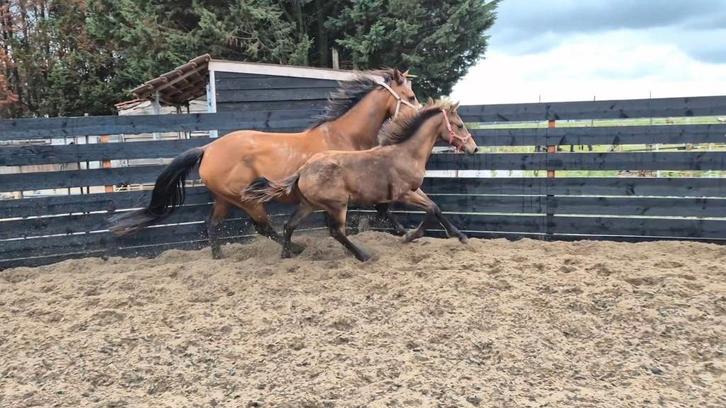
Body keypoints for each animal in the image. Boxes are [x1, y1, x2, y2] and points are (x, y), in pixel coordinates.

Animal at [108, 69, 421, 258]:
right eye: (411, 96)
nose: (422, 114)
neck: (342, 135)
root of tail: (208, 148)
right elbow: (377, 209)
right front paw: (404, 232)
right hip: (247, 199)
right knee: (263, 227)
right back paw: (295, 248)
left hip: (224, 199)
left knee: (212, 224)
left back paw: (218, 256)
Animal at [240, 99, 478, 262]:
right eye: (459, 125)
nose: (474, 148)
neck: (405, 153)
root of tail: (302, 170)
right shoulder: (404, 193)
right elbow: (429, 210)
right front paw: (411, 236)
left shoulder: (415, 189)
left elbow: (435, 208)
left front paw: (460, 235)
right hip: (337, 205)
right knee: (337, 232)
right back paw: (364, 255)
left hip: (309, 204)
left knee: (289, 225)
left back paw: (286, 254)